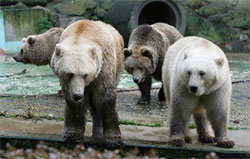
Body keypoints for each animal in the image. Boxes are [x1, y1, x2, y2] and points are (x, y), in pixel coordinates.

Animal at [50, 20, 124, 148]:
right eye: (70, 74)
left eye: (85, 74)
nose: (78, 95)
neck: (81, 34)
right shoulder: (68, 84)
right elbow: (72, 102)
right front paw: (72, 134)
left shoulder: (103, 66)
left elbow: (106, 96)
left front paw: (113, 139)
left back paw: (98, 132)